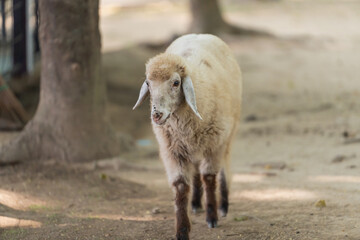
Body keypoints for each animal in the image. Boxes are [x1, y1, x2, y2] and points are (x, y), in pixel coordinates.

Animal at [133, 34, 242, 240]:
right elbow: (181, 186)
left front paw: (212, 217)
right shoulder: (172, 151)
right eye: (148, 83)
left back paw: (223, 204)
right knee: (196, 170)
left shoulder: (214, 144)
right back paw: (196, 203)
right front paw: (182, 229)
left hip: (229, 135)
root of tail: (202, 35)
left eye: (176, 83)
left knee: (224, 166)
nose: (156, 115)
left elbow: (209, 178)